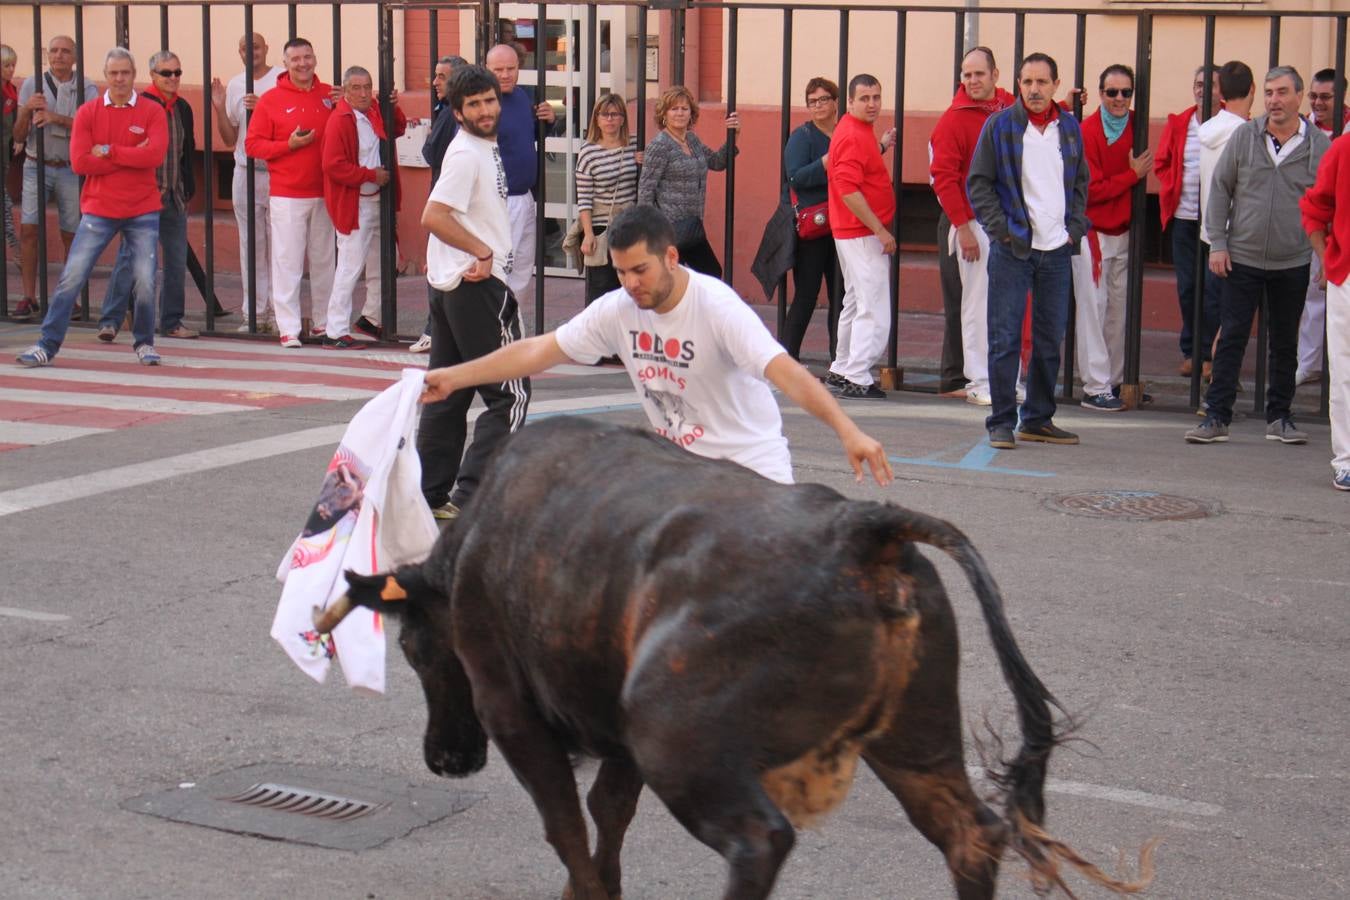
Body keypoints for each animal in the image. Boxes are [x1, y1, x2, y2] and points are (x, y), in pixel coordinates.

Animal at [318, 418, 1150, 895]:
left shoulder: (513, 710)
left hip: (679, 740)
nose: (446, 760)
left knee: (759, 839)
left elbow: (567, 825)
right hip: (918, 738)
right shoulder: (618, 735)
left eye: (416, 648)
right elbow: (609, 814)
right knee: (970, 834)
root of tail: (864, 529)